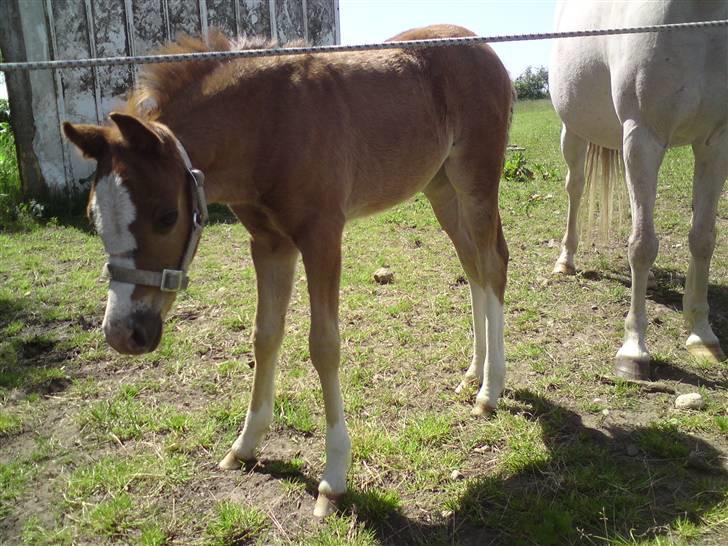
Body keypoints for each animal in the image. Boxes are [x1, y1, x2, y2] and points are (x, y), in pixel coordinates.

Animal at [62, 25, 513, 517]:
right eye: (91, 217)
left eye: (166, 216)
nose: (123, 333)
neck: (265, 124)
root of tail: (483, 46)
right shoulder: (269, 244)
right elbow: (265, 336)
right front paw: (244, 446)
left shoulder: (322, 237)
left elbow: (324, 346)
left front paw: (333, 478)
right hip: (441, 186)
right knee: (472, 266)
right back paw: (473, 373)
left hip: (476, 179)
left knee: (492, 265)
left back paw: (490, 391)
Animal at [549, 0, 728, 379]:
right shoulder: (642, 136)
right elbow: (642, 245)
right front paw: (634, 351)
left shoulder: (716, 141)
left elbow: (703, 238)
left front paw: (701, 333)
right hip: (573, 130)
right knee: (576, 189)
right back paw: (565, 261)